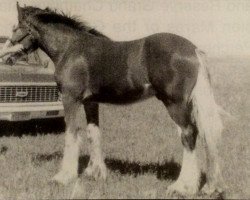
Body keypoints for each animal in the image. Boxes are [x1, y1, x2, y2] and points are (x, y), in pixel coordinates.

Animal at [5, 3, 226, 196]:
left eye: (16, 27)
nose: (7, 55)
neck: (71, 48)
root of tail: (193, 50)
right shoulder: (90, 102)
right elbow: (93, 133)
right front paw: (95, 173)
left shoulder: (70, 99)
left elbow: (71, 135)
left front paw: (63, 176)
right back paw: (209, 187)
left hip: (175, 104)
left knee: (188, 134)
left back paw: (182, 187)